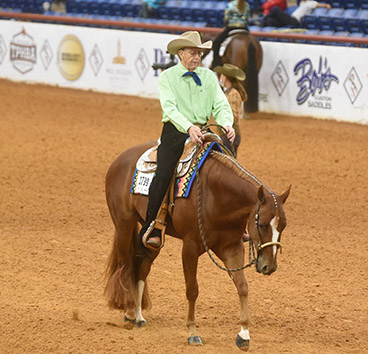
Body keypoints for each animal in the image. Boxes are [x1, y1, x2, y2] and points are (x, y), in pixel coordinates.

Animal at [104, 140, 290, 350]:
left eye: (283, 225)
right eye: (262, 224)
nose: (269, 266)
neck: (217, 194)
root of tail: (119, 159)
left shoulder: (232, 247)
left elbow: (242, 286)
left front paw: (244, 334)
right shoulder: (190, 247)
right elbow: (192, 290)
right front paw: (193, 332)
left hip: (151, 237)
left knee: (142, 267)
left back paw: (138, 314)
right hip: (124, 225)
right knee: (124, 265)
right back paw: (128, 311)